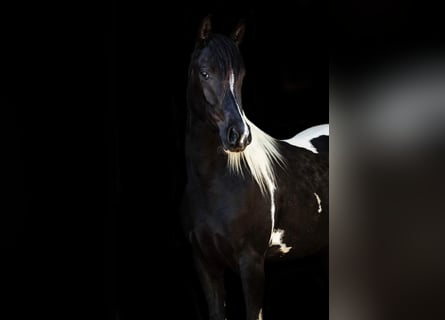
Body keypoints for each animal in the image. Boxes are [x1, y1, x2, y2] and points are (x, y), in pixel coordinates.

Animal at [179, 15, 328, 320]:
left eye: (242, 76)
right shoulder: (205, 266)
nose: (240, 136)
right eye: (204, 73)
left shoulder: (251, 264)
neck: (213, 185)